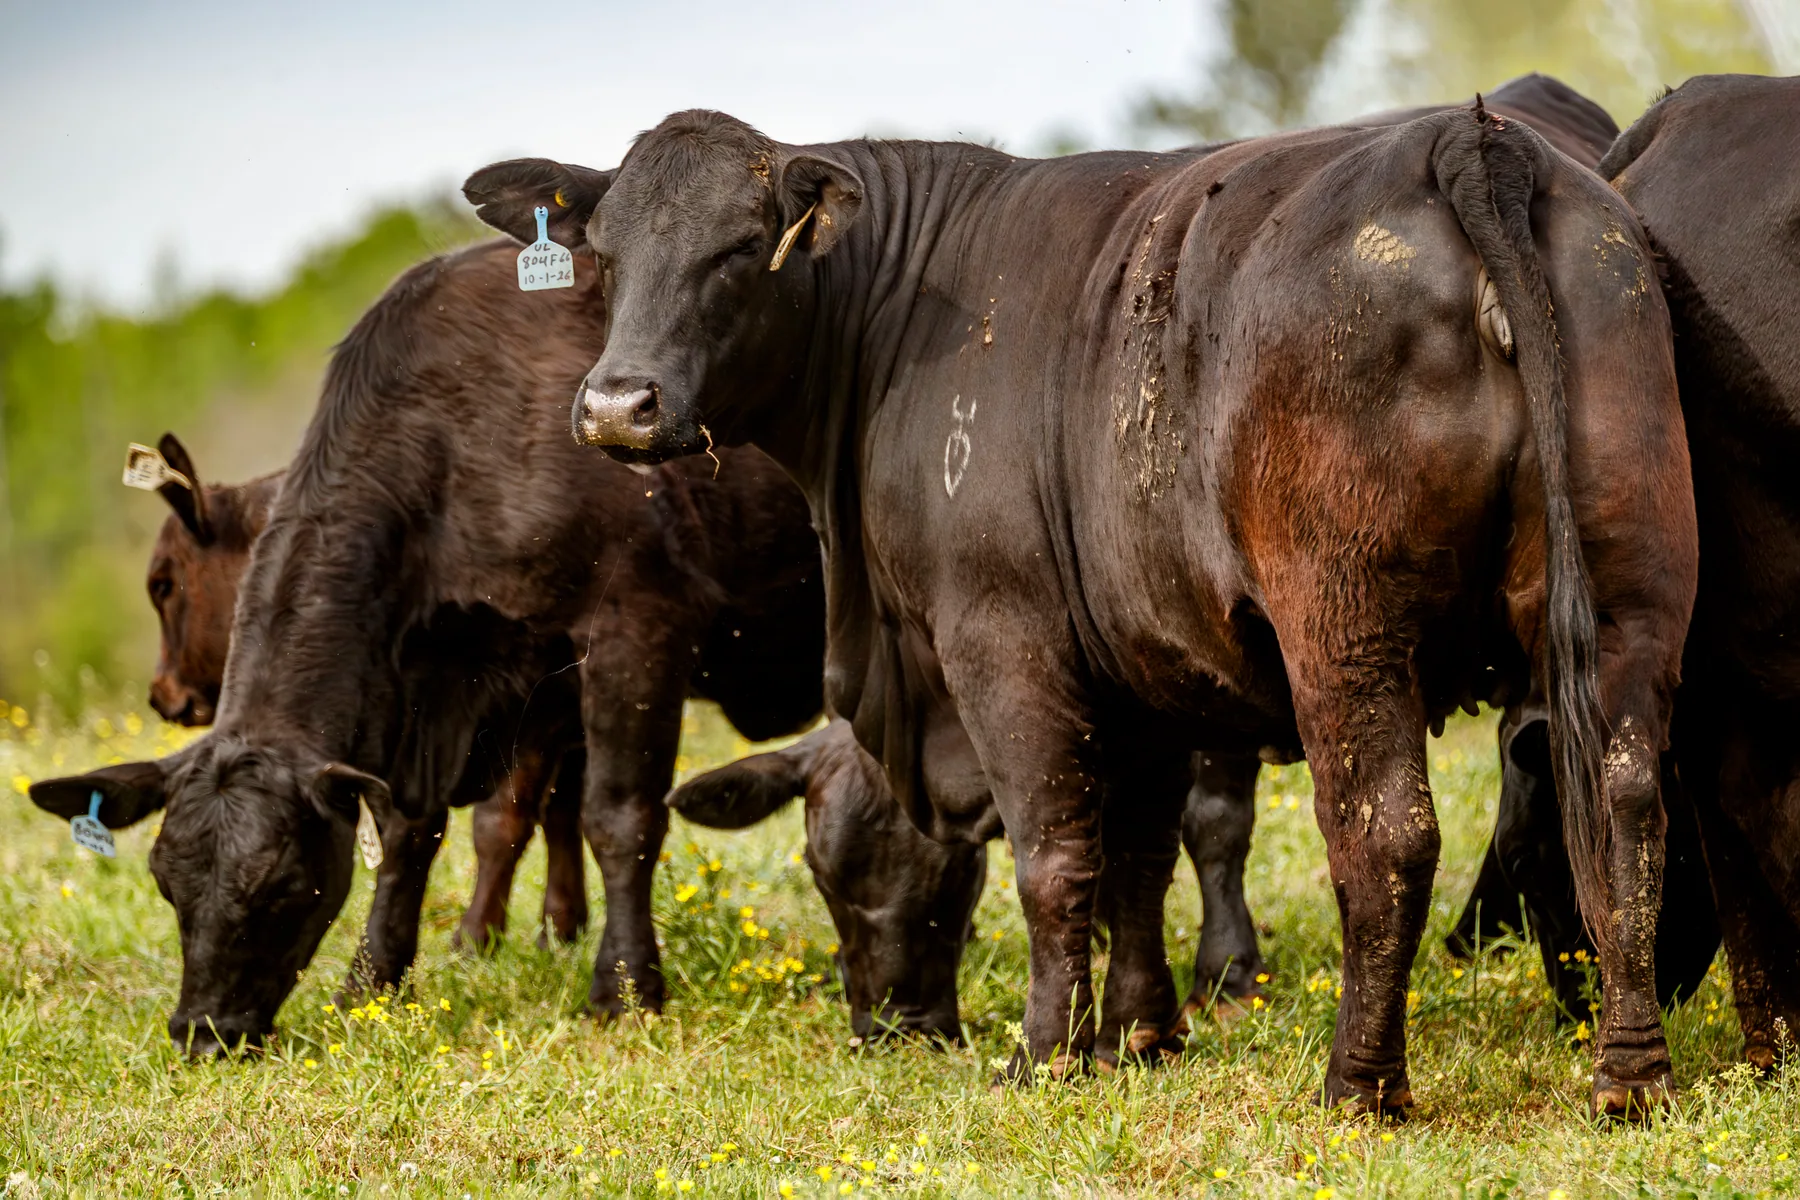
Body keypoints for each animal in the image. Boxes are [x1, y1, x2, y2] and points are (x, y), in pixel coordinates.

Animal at [137, 436, 590, 951]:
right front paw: (561, 927)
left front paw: (474, 939)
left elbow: (502, 821)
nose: (161, 694)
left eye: (163, 584)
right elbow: (561, 810)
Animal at [487, 100, 1696, 1117]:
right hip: (1632, 593)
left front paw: (1047, 1052)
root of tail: (1463, 137)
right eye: (604, 254)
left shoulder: (1003, 644)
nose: (618, 405)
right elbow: (1139, 857)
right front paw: (1143, 1032)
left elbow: (1057, 856)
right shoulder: (1145, 665)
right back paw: (1630, 1076)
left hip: (1346, 625)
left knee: (1386, 835)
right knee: (1627, 801)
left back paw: (1359, 1087)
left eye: (742, 248)